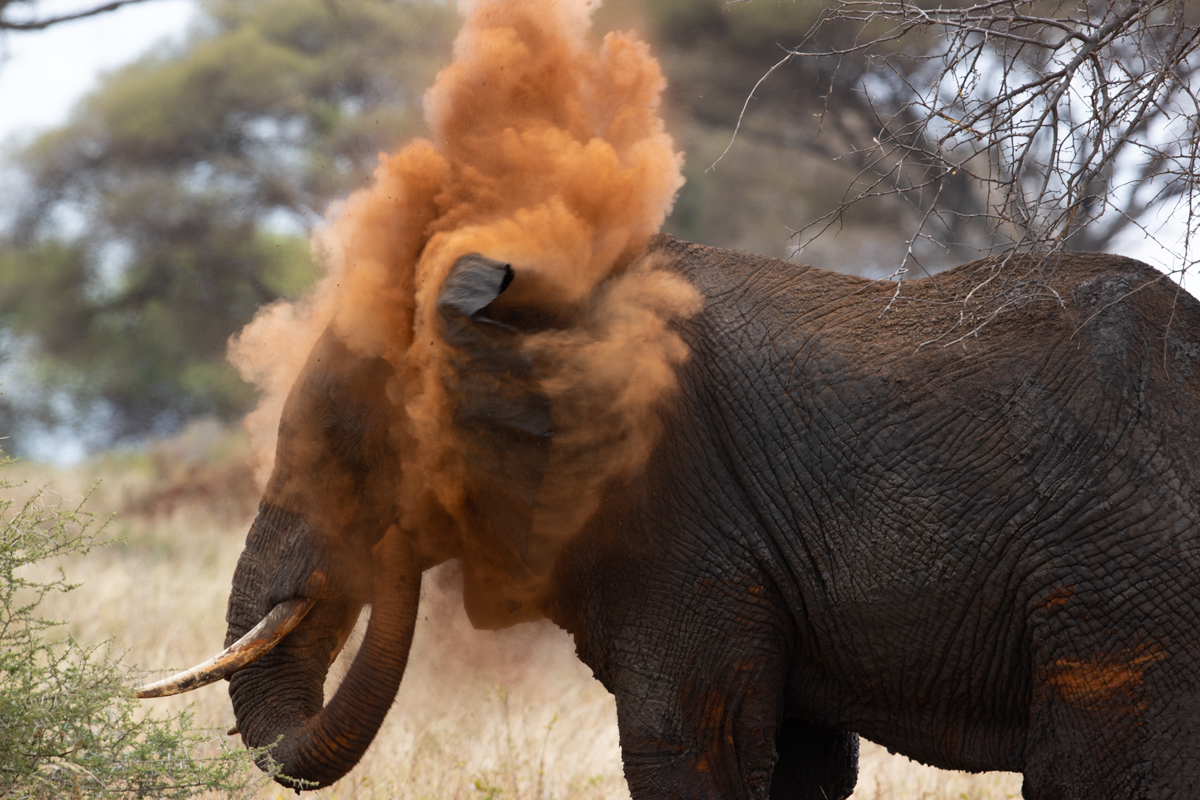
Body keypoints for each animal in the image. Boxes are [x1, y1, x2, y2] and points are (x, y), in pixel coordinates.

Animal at [142, 232, 1200, 800]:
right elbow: (799, 761)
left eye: (351, 452)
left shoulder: (681, 519)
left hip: (1123, 580)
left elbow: (689, 742)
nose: (397, 534)